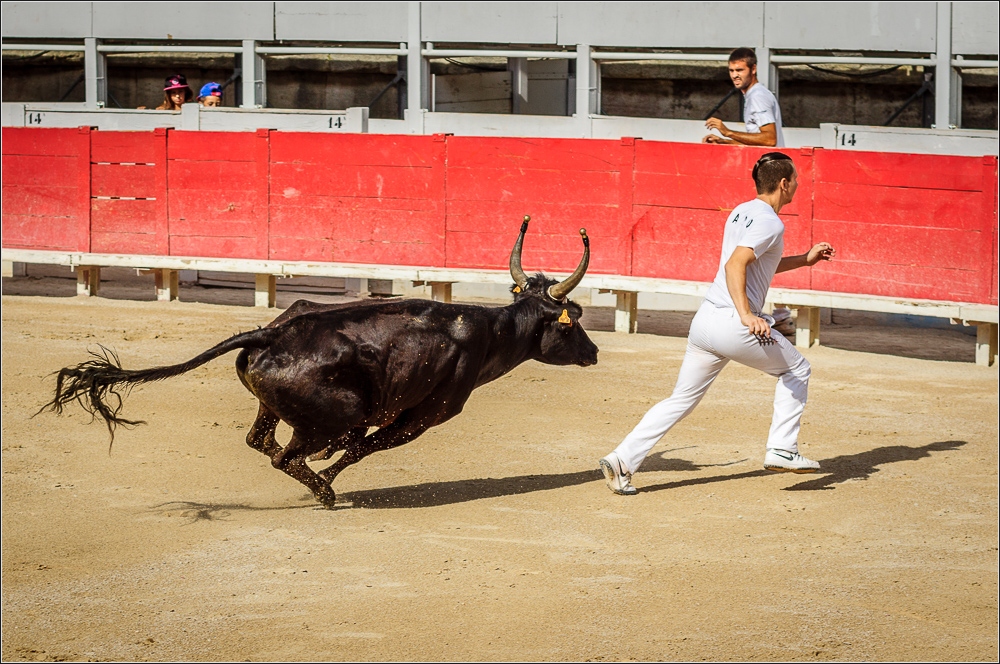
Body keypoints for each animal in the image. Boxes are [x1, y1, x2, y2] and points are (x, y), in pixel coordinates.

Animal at [43, 219, 596, 508]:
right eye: (571, 323)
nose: (592, 353)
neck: (488, 331)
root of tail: (272, 331)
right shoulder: (425, 416)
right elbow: (365, 448)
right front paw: (332, 477)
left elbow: (358, 446)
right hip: (332, 414)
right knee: (289, 454)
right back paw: (326, 494)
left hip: (274, 406)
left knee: (262, 442)